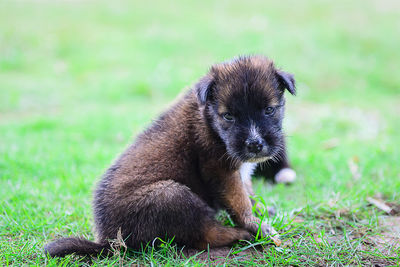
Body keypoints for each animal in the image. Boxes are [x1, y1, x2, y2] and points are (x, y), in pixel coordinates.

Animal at [43, 55, 296, 258]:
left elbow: (247, 191)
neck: (207, 117)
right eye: (228, 117)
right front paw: (257, 226)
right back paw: (241, 235)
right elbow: (239, 201)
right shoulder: (220, 170)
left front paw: (262, 210)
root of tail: (110, 240)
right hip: (172, 196)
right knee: (207, 235)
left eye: (269, 110)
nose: (255, 144)